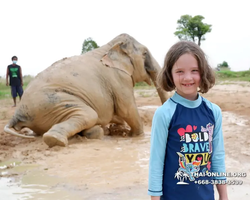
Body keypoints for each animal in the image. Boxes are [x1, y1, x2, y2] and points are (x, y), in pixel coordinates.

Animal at [3, 33, 168, 148]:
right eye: (145, 54)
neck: (111, 46)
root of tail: (17, 114)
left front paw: (119, 128)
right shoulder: (118, 77)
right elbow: (126, 109)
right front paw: (137, 136)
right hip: (49, 103)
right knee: (89, 114)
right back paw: (57, 140)